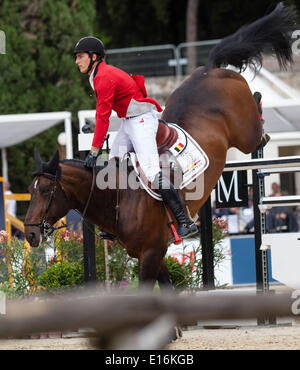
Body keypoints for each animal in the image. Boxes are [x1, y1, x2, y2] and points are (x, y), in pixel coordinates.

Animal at [24, 4, 296, 290]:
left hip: (245, 135)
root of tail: (210, 69)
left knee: (258, 129)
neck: (119, 198)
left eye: (46, 190)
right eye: (30, 191)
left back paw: (261, 109)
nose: (29, 234)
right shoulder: (154, 254)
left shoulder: (152, 252)